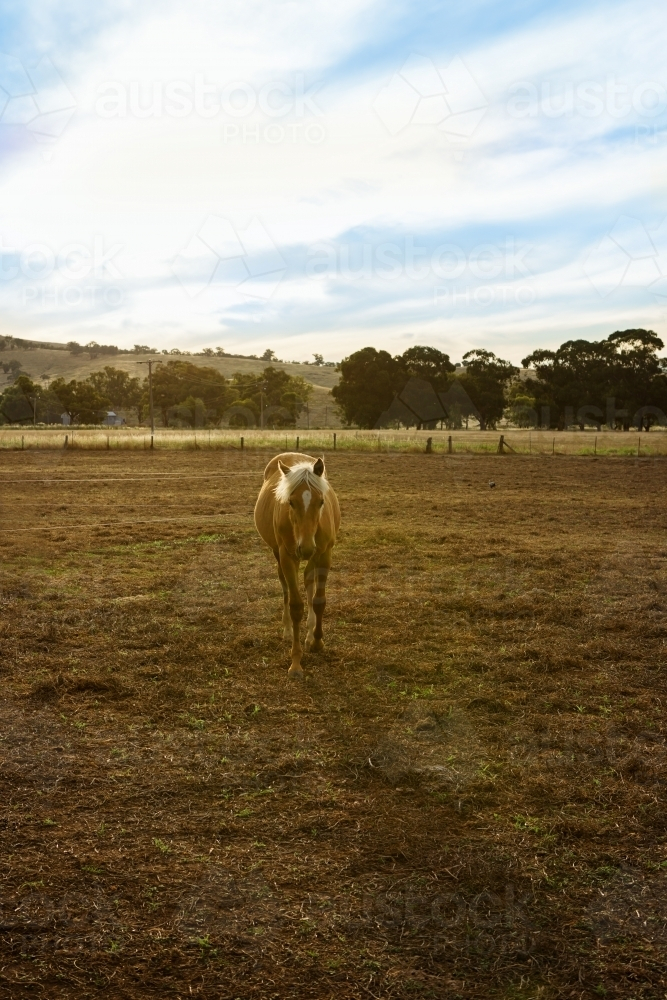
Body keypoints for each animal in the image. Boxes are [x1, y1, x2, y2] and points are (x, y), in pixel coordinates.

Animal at [254, 452, 341, 677]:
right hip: (279, 554)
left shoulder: (325, 554)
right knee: (284, 585)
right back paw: (287, 630)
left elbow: (319, 601)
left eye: (321, 501)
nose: (306, 547)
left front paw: (317, 642)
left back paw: (310, 634)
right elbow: (295, 606)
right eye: (291, 502)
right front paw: (296, 662)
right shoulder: (287, 557)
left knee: (309, 580)